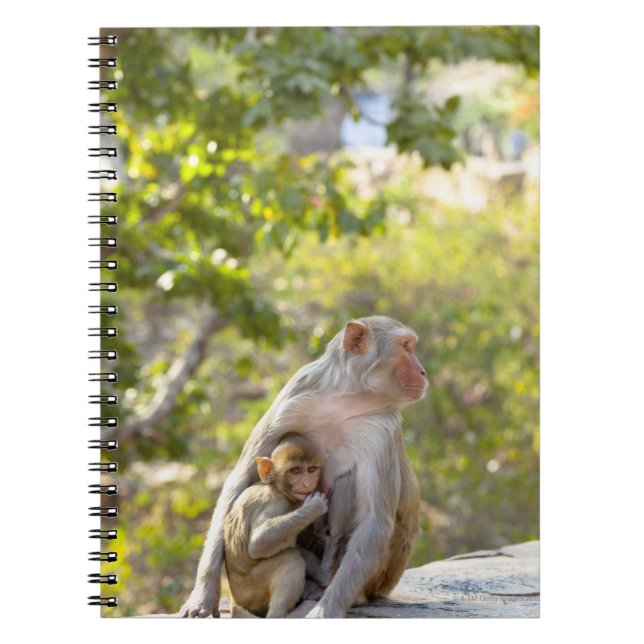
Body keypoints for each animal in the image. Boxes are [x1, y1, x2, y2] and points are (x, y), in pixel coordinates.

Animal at [223, 433, 340, 618]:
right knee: (290, 557)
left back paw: (325, 574)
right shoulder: (276, 504)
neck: (278, 489)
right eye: (295, 471)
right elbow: (258, 543)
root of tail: (236, 600)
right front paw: (314, 508)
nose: (307, 484)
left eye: (311, 470)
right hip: (253, 589)